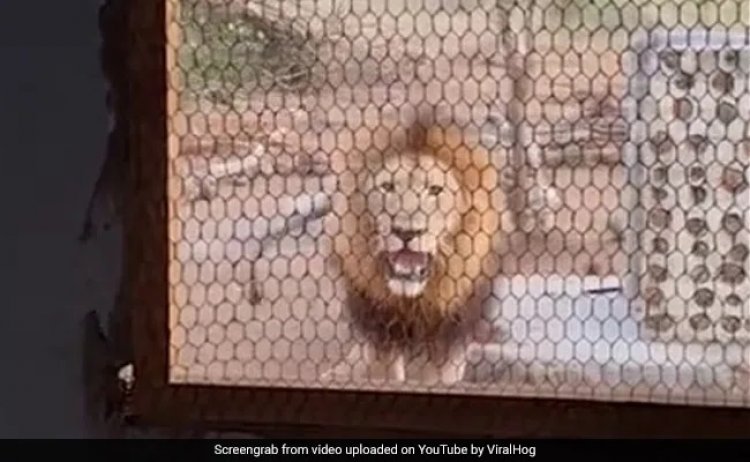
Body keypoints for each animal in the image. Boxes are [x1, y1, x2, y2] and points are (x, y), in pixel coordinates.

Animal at [324, 121, 506, 384]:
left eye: (435, 190)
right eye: (387, 187)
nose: (405, 232)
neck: (415, 303)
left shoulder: (450, 340)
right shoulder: (381, 332)